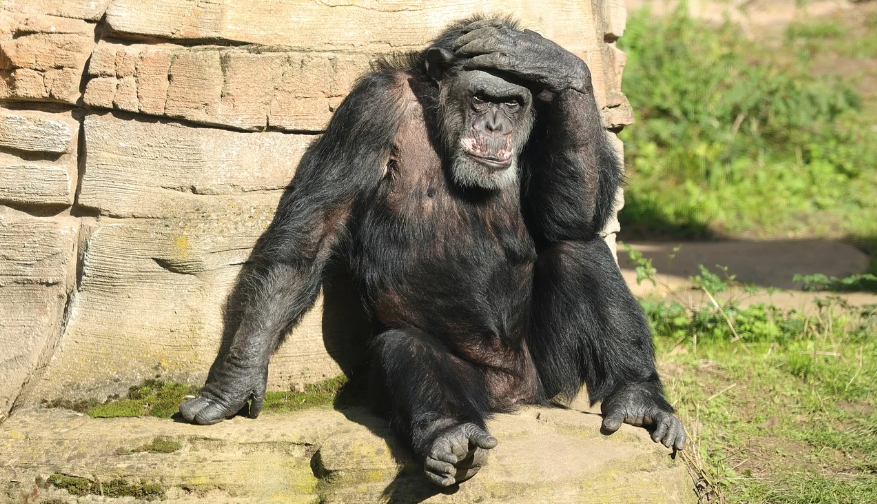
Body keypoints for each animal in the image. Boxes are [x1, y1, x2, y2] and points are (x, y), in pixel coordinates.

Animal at [180, 16, 684, 488]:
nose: (494, 126)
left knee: (578, 248)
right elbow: (309, 237)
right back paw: (451, 437)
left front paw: (545, 58)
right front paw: (234, 381)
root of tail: (516, 397)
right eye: (481, 98)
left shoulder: (546, 120)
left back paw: (637, 398)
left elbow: (568, 217)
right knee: (405, 347)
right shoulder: (369, 110)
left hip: (549, 370)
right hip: (477, 384)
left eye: (512, 103)